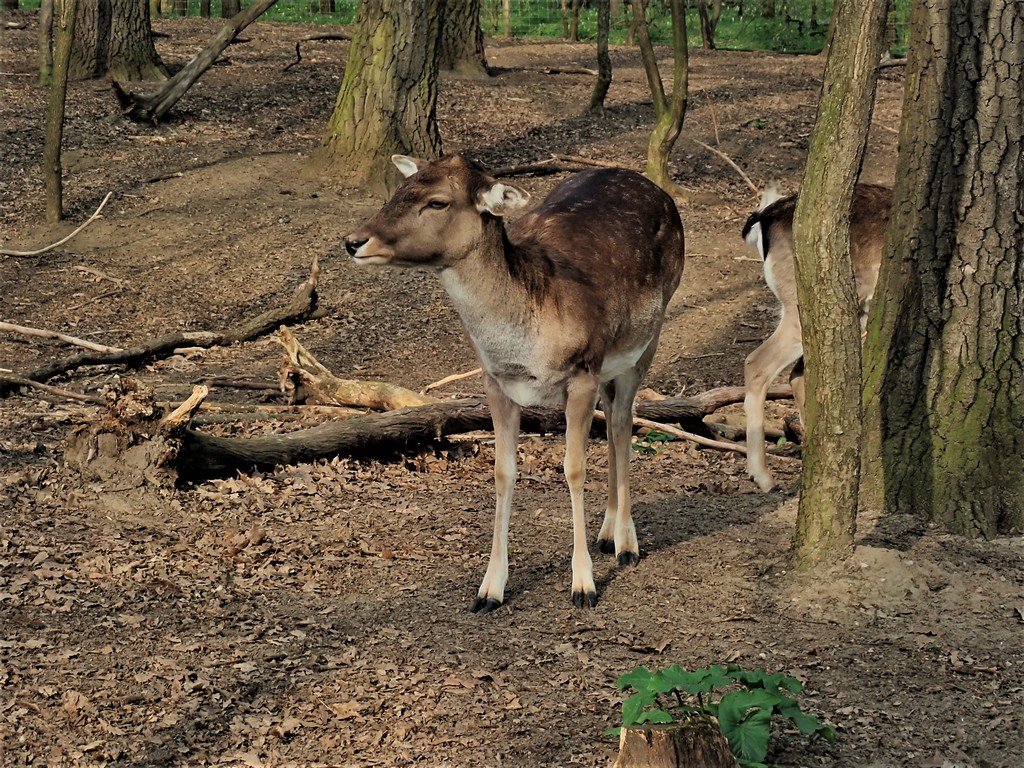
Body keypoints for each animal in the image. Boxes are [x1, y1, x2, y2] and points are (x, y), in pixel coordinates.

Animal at [346, 154, 688, 614]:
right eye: (399, 191)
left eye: (437, 202)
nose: (354, 241)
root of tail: (651, 185)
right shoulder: (496, 382)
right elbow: (503, 471)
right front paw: (489, 589)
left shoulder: (581, 372)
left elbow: (574, 468)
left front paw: (583, 586)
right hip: (608, 364)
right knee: (614, 418)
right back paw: (606, 534)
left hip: (648, 336)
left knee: (621, 423)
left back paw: (626, 543)